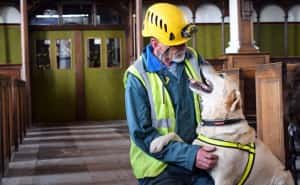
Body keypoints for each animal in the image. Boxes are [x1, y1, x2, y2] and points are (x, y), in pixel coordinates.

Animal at [149, 62, 294, 184]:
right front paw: (156, 143)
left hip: (281, 177)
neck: (218, 122)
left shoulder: (223, 179)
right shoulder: (196, 149)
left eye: (221, 75)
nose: (204, 62)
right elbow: (174, 135)